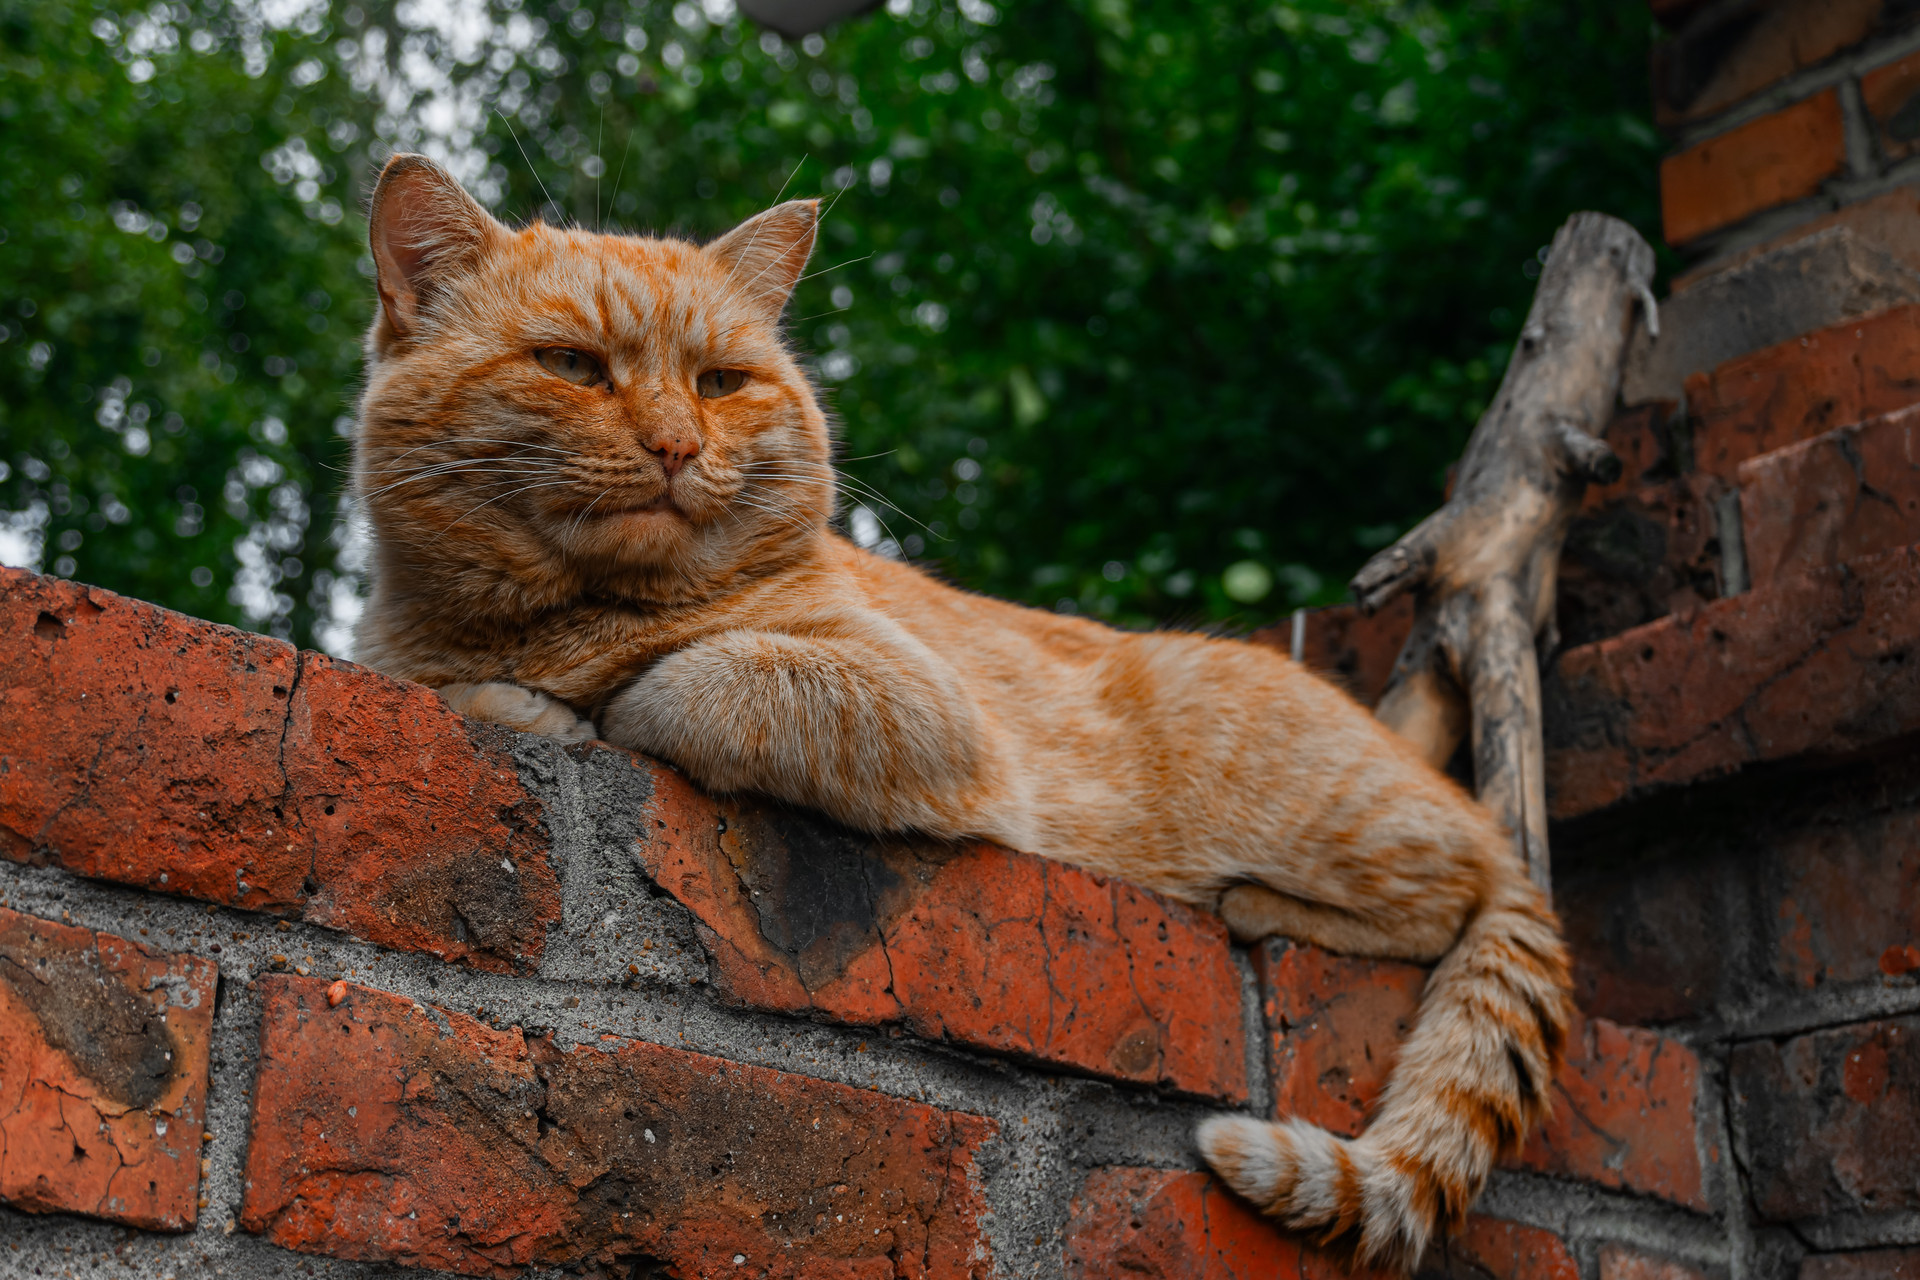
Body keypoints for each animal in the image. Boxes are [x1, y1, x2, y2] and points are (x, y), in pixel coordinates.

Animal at [349, 152, 1574, 1274]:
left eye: (722, 381)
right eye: (571, 365)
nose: (676, 446)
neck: (568, 617)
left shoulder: (922, 709)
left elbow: (693, 680)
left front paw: (597, 699)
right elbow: (468, 686)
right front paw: (523, 698)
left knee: (1447, 894)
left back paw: (1258, 901)